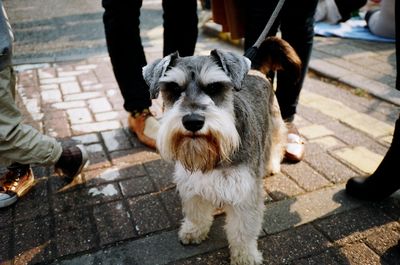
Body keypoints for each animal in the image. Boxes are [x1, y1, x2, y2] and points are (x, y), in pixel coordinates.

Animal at [143, 37, 300, 264]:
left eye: (214, 87)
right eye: (173, 88)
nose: (193, 121)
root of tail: (256, 70)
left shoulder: (245, 191)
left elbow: (243, 230)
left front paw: (245, 256)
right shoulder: (192, 183)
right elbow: (196, 212)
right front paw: (193, 231)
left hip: (274, 123)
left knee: (276, 143)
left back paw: (271, 165)